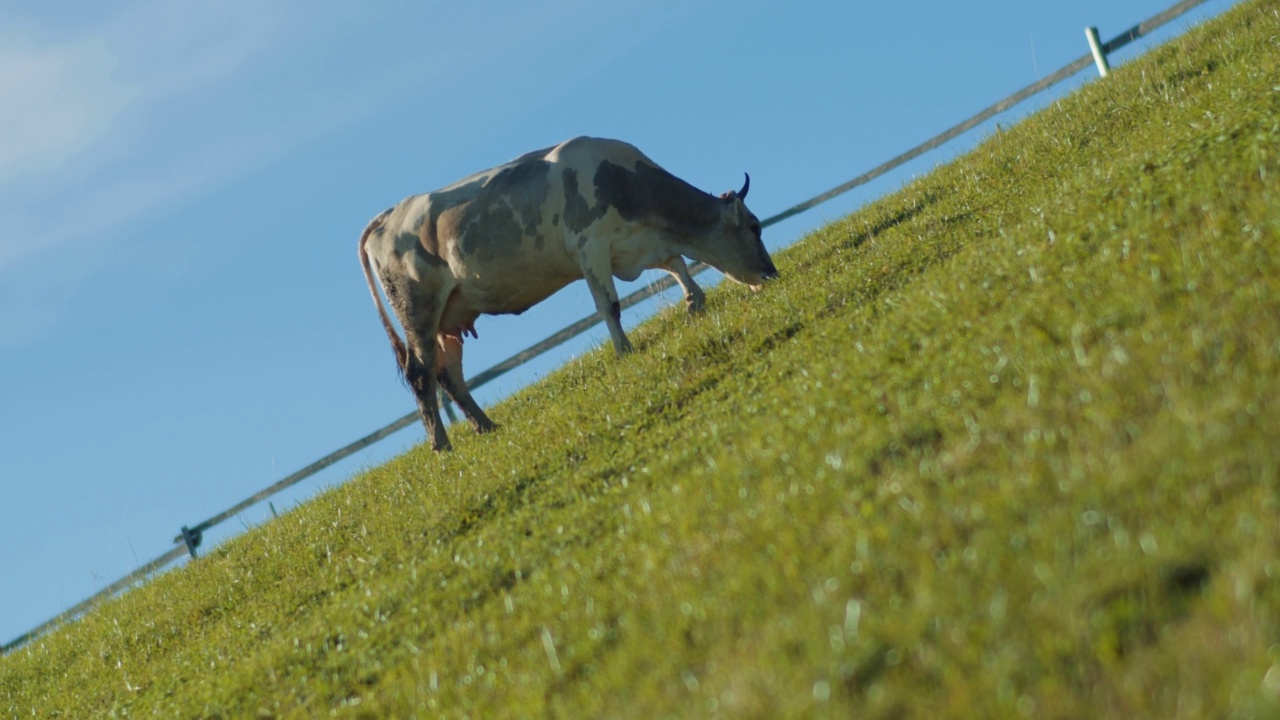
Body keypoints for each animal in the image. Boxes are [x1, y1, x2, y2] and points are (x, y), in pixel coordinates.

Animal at [360, 135, 778, 448]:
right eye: (755, 226)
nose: (771, 274)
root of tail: (387, 216)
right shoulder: (590, 246)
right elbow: (610, 305)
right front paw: (625, 351)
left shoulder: (637, 244)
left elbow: (677, 264)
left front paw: (695, 302)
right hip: (418, 310)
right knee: (420, 373)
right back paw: (442, 444)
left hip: (450, 313)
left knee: (449, 374)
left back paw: (487, 426)